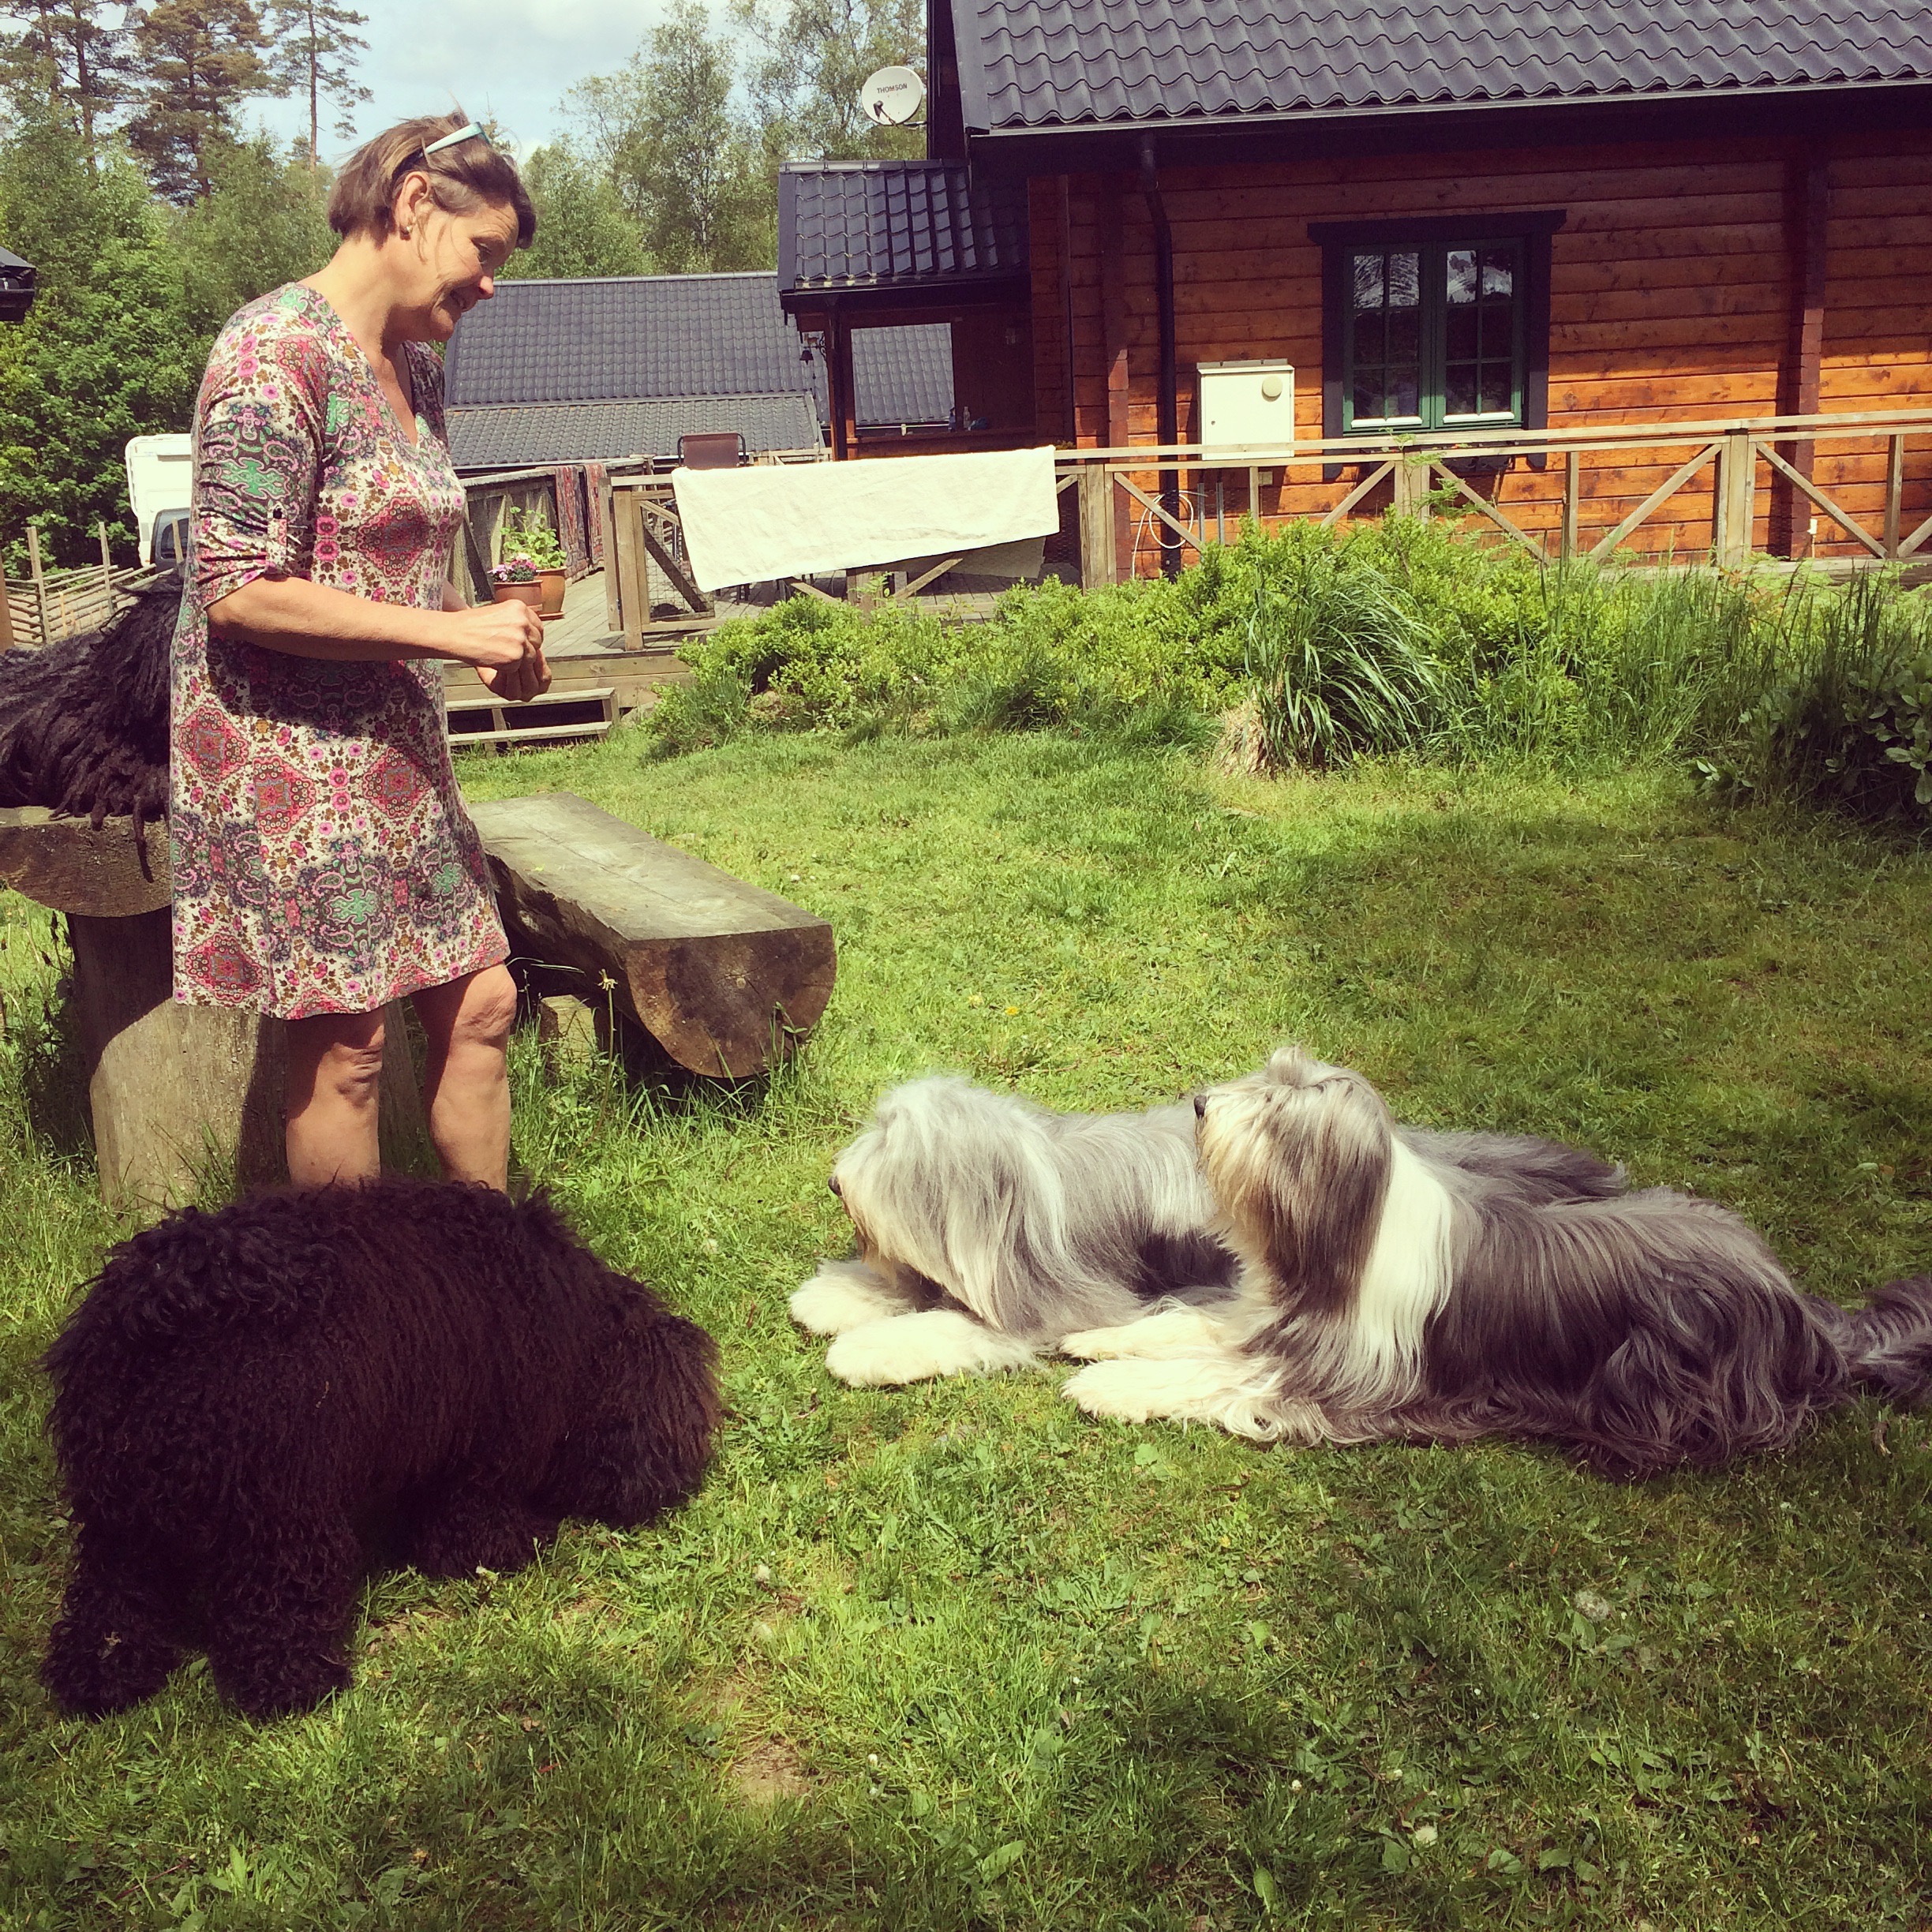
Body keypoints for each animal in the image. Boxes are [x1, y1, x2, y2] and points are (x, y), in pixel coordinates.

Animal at [42, 1179, 720, 1719]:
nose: (674, 1489)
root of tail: (170, 1300)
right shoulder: (483, 1449)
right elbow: (473, 1512)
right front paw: (505, 1548)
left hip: (119, 1517)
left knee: (112, 1600)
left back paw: (100, 1680)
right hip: (277, 1514)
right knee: (274, 1603)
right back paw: (295, 1688)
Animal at [792, 1070, 1628, 1389]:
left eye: (892, 1154)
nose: (834, 1182)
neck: (1023, 1187)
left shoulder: (1056, 1298)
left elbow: (957, 1325)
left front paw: (868, 1349)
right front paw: (835, 1297)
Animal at [1060, 1048, 1932, 1478]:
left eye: (1275, 1114)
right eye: (1260, 1083)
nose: (1202, 1104)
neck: (1349, 1234)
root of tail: (1802, 1311)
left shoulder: (1340, 1375)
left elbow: (1212, 1379)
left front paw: (1109, 1387)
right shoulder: (1275, 1318)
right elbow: (1191, 1327)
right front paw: (1096, 1340)